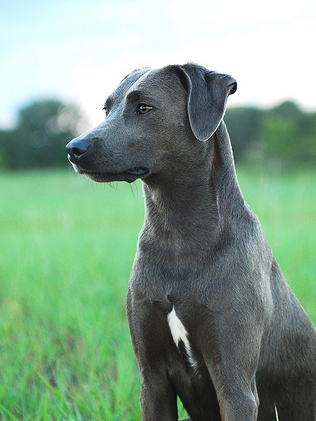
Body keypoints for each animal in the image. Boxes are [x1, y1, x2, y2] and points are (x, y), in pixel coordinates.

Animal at [66, 63, 316, 420]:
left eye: (144, 107)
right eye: (106, 108)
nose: (74, 148)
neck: (177, 235)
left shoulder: (235, 385)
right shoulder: (152, 378)